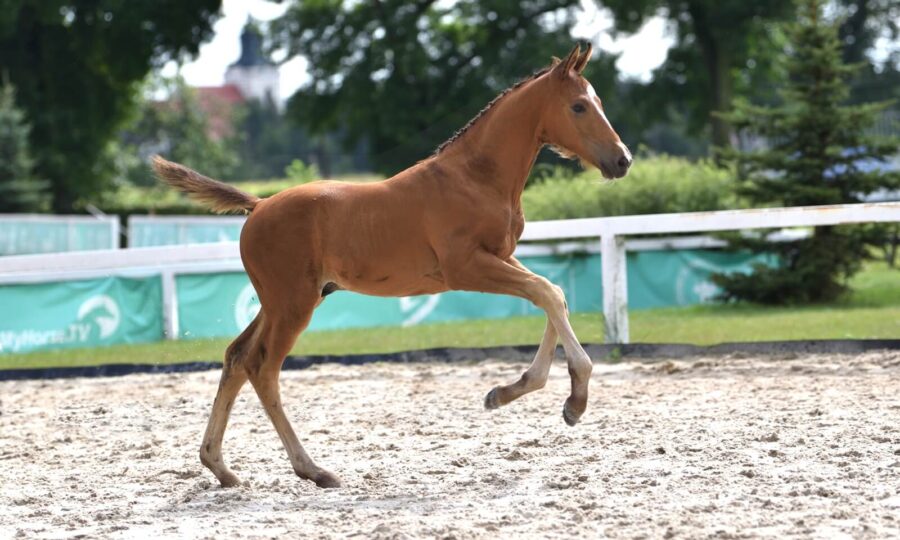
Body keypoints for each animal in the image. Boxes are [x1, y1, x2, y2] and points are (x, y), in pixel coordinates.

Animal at [155, 43, 632, 490]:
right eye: (578, 106)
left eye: (599, 101)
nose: (622, 160)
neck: (475, 178)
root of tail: (258, 205)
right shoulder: (466, 268)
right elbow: (547, 292)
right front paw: (575, 399)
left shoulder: (501, 256)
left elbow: (553, 296)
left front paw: (506, 392)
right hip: (293, 304)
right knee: (262, 367)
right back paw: (313, 470)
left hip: (283, 301)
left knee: (236, 357)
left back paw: (220, 467)